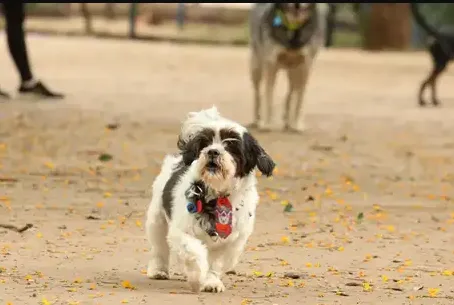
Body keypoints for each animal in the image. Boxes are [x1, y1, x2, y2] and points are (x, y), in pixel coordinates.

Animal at [145, 105, 274, 290]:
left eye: (231, 145)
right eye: (205, 143)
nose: (213, 151)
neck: (218, 194)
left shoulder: (232, 242)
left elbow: (216, 263)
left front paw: (211, 281)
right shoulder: (181, 231)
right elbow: (194, 251)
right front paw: (197, 275)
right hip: (157, 220)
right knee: (159, 247)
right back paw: (158, 270)